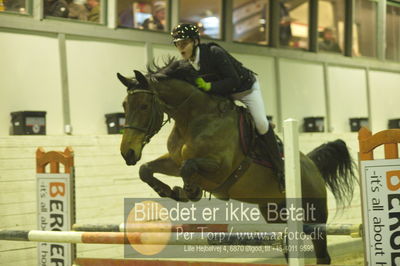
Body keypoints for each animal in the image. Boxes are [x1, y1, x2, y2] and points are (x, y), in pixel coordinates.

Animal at [115, 58, 356, 264]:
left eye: (144, 106)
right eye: (124, 106)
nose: (128, 153)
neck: (193, 118)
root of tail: (312, 165)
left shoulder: (219, 167)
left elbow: (188, 167)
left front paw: (190, 191)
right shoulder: (173, 161)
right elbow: (146, 169)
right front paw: (168, 191)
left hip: (315, 217)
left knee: (322, 254)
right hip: (276, 213)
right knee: (288, 240)